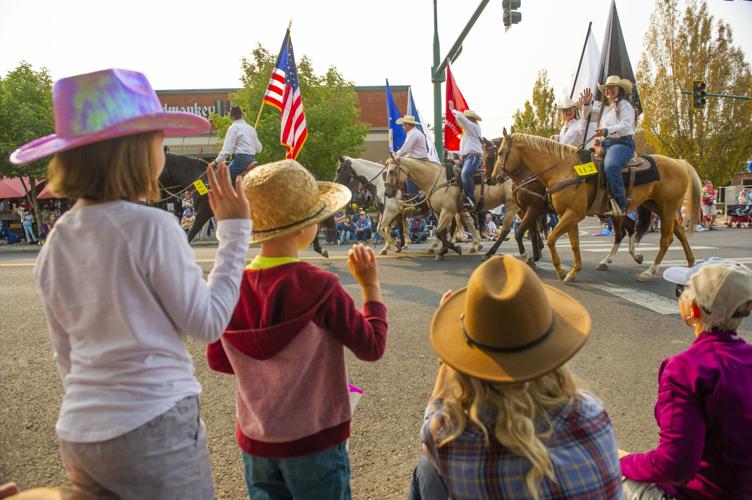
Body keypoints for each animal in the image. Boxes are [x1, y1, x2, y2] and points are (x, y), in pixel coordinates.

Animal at [384, 157, 520, 260]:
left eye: (391, 171)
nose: (387, 192)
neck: (436, 179)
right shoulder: (441, 212)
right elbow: (442, 232)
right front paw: (443, 250)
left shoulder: (447, 211)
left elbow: (439, 232)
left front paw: (452, 249)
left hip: (511, 206)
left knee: (505, 230)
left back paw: (488, 252)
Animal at [494, 130, 700, 282]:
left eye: (500, 153)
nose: (492, 178)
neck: (562, 170)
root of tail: (679, 162)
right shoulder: (565, 215)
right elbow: (573, 243)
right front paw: (572, 271)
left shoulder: (565, 213)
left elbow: (548, 238)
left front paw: (557, 269)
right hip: (656, 206)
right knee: (674, 232)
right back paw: (690, 265)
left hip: (666, 208)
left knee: (664, 239)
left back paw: (649, 271)